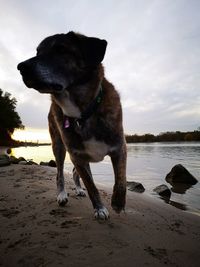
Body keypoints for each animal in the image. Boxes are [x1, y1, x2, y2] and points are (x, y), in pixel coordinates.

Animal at [17, 31, 126, 220]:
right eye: (38, 52)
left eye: (61, 49)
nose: (21, 67)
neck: (82, 114)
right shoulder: (77, 155)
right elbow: (91, 185)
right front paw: (99, 208)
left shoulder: (119, 148)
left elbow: (121, 179)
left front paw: (118, 203)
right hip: (58, 147)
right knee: (60, 173)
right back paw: (62, 194)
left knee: (74, 173)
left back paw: (79, 189)